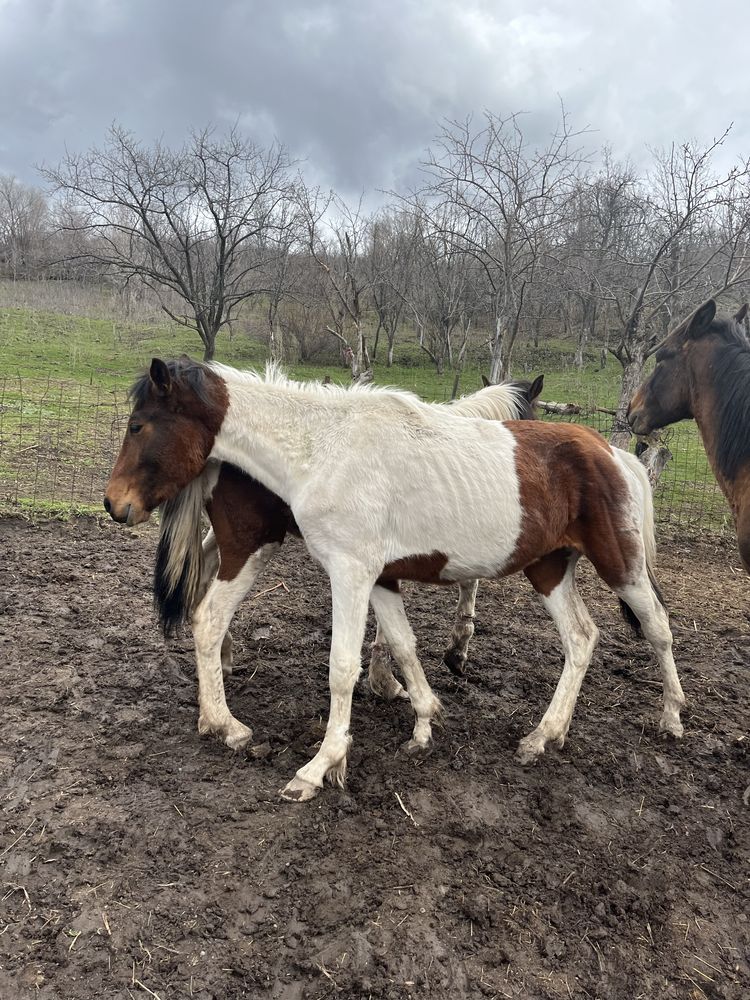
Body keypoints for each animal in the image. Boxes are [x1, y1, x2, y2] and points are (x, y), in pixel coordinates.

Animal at [106, 360, 688, 804]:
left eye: (138, 426)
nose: (115, 505)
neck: (322, 450)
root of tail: (616, 456)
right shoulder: (381, 579)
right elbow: (404, 646)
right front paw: (423, 721)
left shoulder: (351, 574)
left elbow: (344, 667)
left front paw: (320, 767)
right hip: (549, 569)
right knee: (582, 638)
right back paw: (545, 735)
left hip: (620, 567)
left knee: (657, 627)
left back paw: (671, 718)